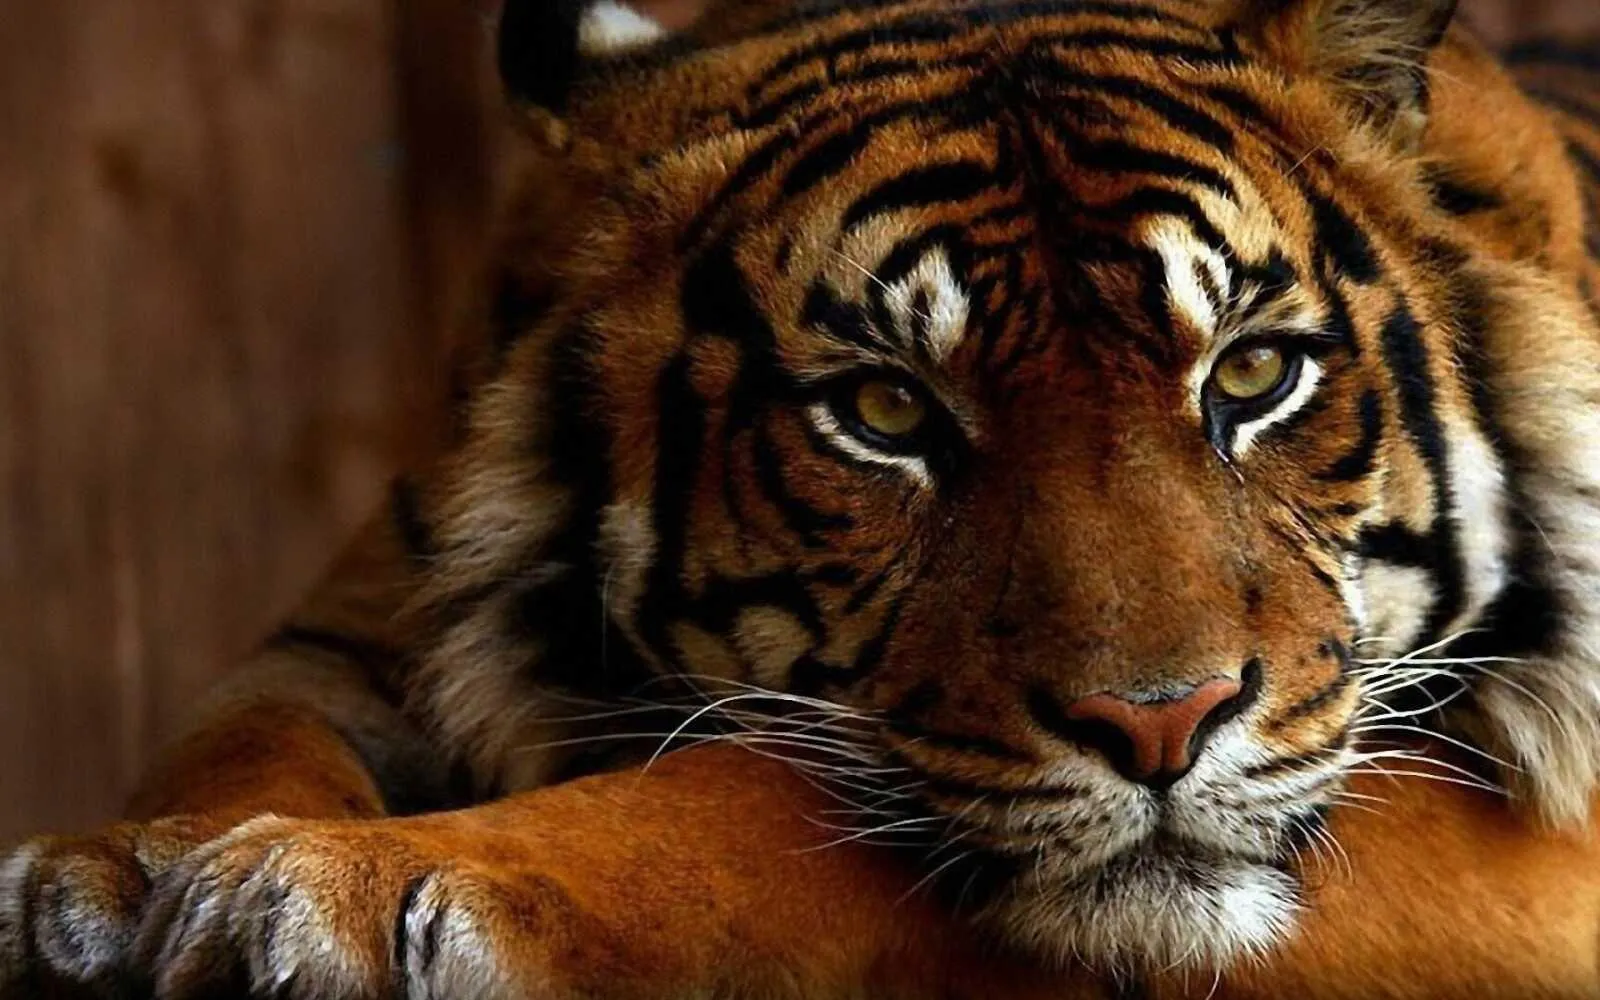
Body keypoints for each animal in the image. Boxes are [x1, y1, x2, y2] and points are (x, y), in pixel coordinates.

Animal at [5, 0, 1600, 997]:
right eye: (886, 410)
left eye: (1254, 371)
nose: (1162, 725)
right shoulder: (355, 630)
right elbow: (241, 737)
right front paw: (109, 883)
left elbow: (757, 796)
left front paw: (336, 889)